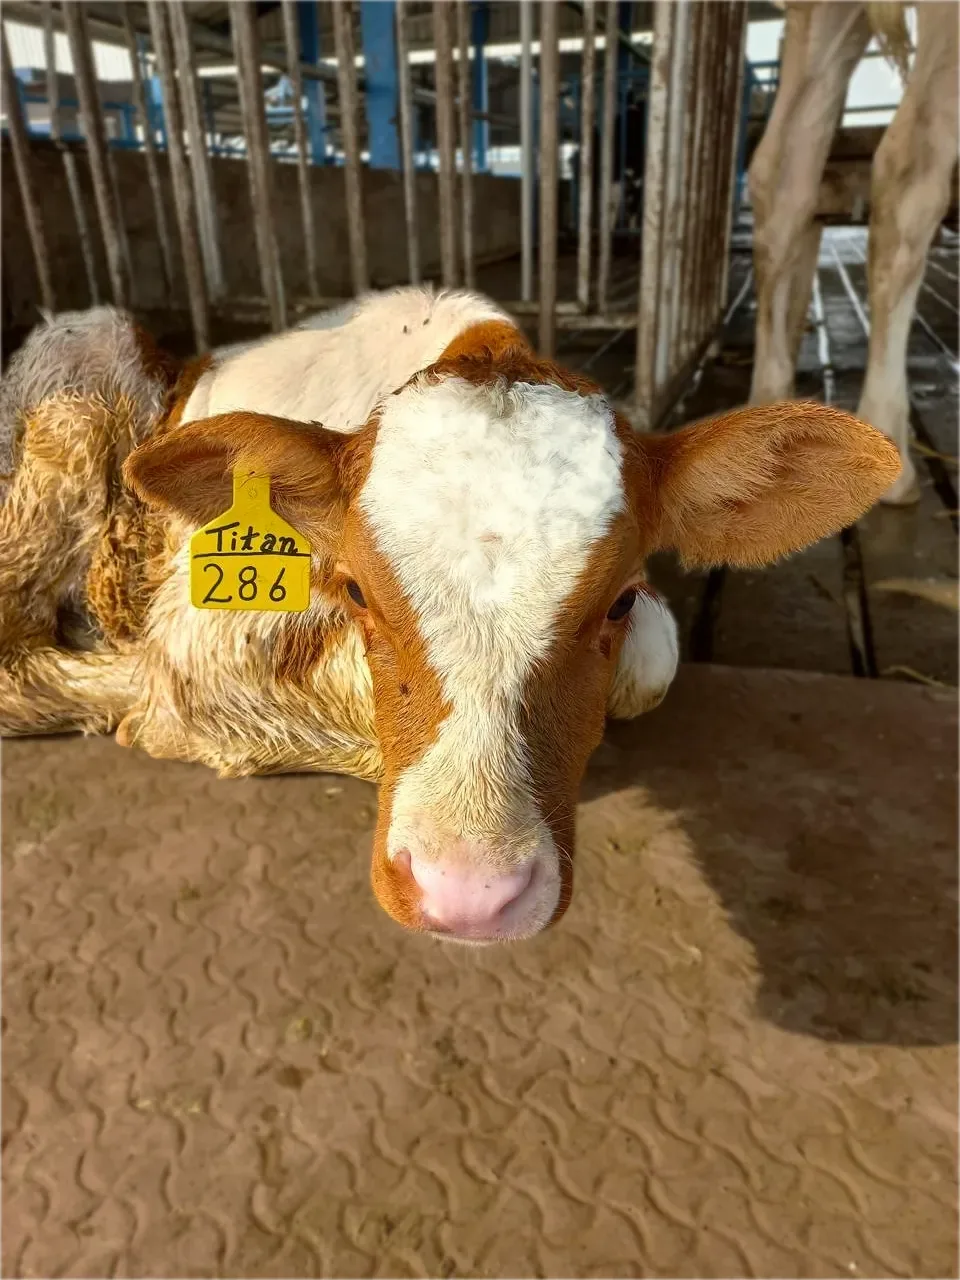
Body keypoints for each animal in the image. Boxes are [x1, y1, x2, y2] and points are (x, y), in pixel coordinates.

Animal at [0, 287, 900, 942]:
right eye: (358, 591)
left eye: (618, 596)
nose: (471, 895)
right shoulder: (204, 651)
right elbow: (191, 704)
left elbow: (653, 664)